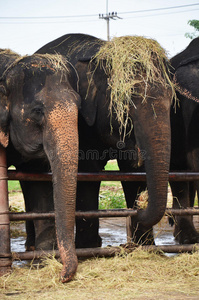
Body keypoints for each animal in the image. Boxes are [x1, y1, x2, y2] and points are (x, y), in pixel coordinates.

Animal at [36, 34, 173, 247]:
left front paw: (146, 247)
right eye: (126, 102)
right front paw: (89, 247)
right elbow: (88, 174)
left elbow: (132, 172)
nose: (139, 208)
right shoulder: (80, 121)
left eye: (171, 99)